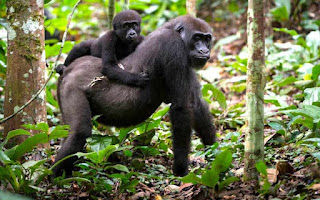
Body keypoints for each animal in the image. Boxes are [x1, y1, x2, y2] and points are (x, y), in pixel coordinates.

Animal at [53, 14, 216, 177]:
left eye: (207, 39)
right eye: (196, 38)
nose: (204, 51)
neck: (172, 29)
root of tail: (69, 68)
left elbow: (196, 104)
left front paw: (214, 154)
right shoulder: (174, 46)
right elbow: (181, 107)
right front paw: (181, 171)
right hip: (72, 85)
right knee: (80, 131)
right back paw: (56, 176)